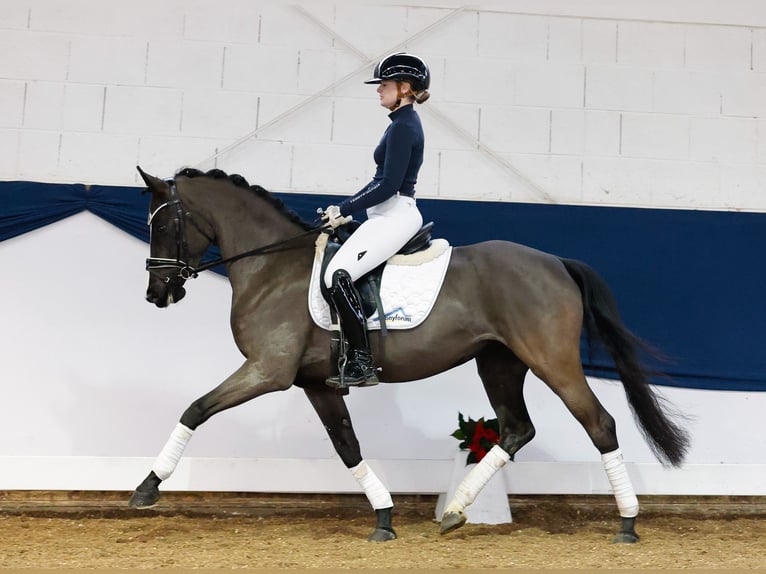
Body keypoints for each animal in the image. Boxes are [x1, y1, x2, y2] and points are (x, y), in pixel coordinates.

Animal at [129, 165, 692, 544]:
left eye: (164, 225)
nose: (156, 294)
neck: (273, 268)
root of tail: (556, 261)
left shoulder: (267, 371)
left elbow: (195, 409)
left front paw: (147, 488)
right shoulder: (313, 382)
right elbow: (347, 446)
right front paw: (383, 518)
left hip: (550, 360)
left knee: (599, 424)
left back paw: (627, 523)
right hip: (498, 362)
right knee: (516, 429)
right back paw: (456, 511)